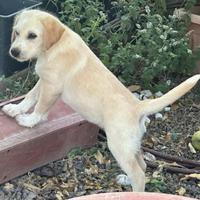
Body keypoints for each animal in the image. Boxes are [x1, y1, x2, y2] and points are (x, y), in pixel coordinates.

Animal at [1, 10, 200, 191]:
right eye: (16, 32)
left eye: (32, 35)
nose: (14, 51)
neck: (54, 47)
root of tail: (138, 106)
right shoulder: (44, 80)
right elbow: (30, 97)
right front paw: (15, 109)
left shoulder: (51, 86)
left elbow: (40, 107)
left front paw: (28, 121)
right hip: (131, 145)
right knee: (142, 165)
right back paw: (125, 180)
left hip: (119, 145)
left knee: (139, 174)